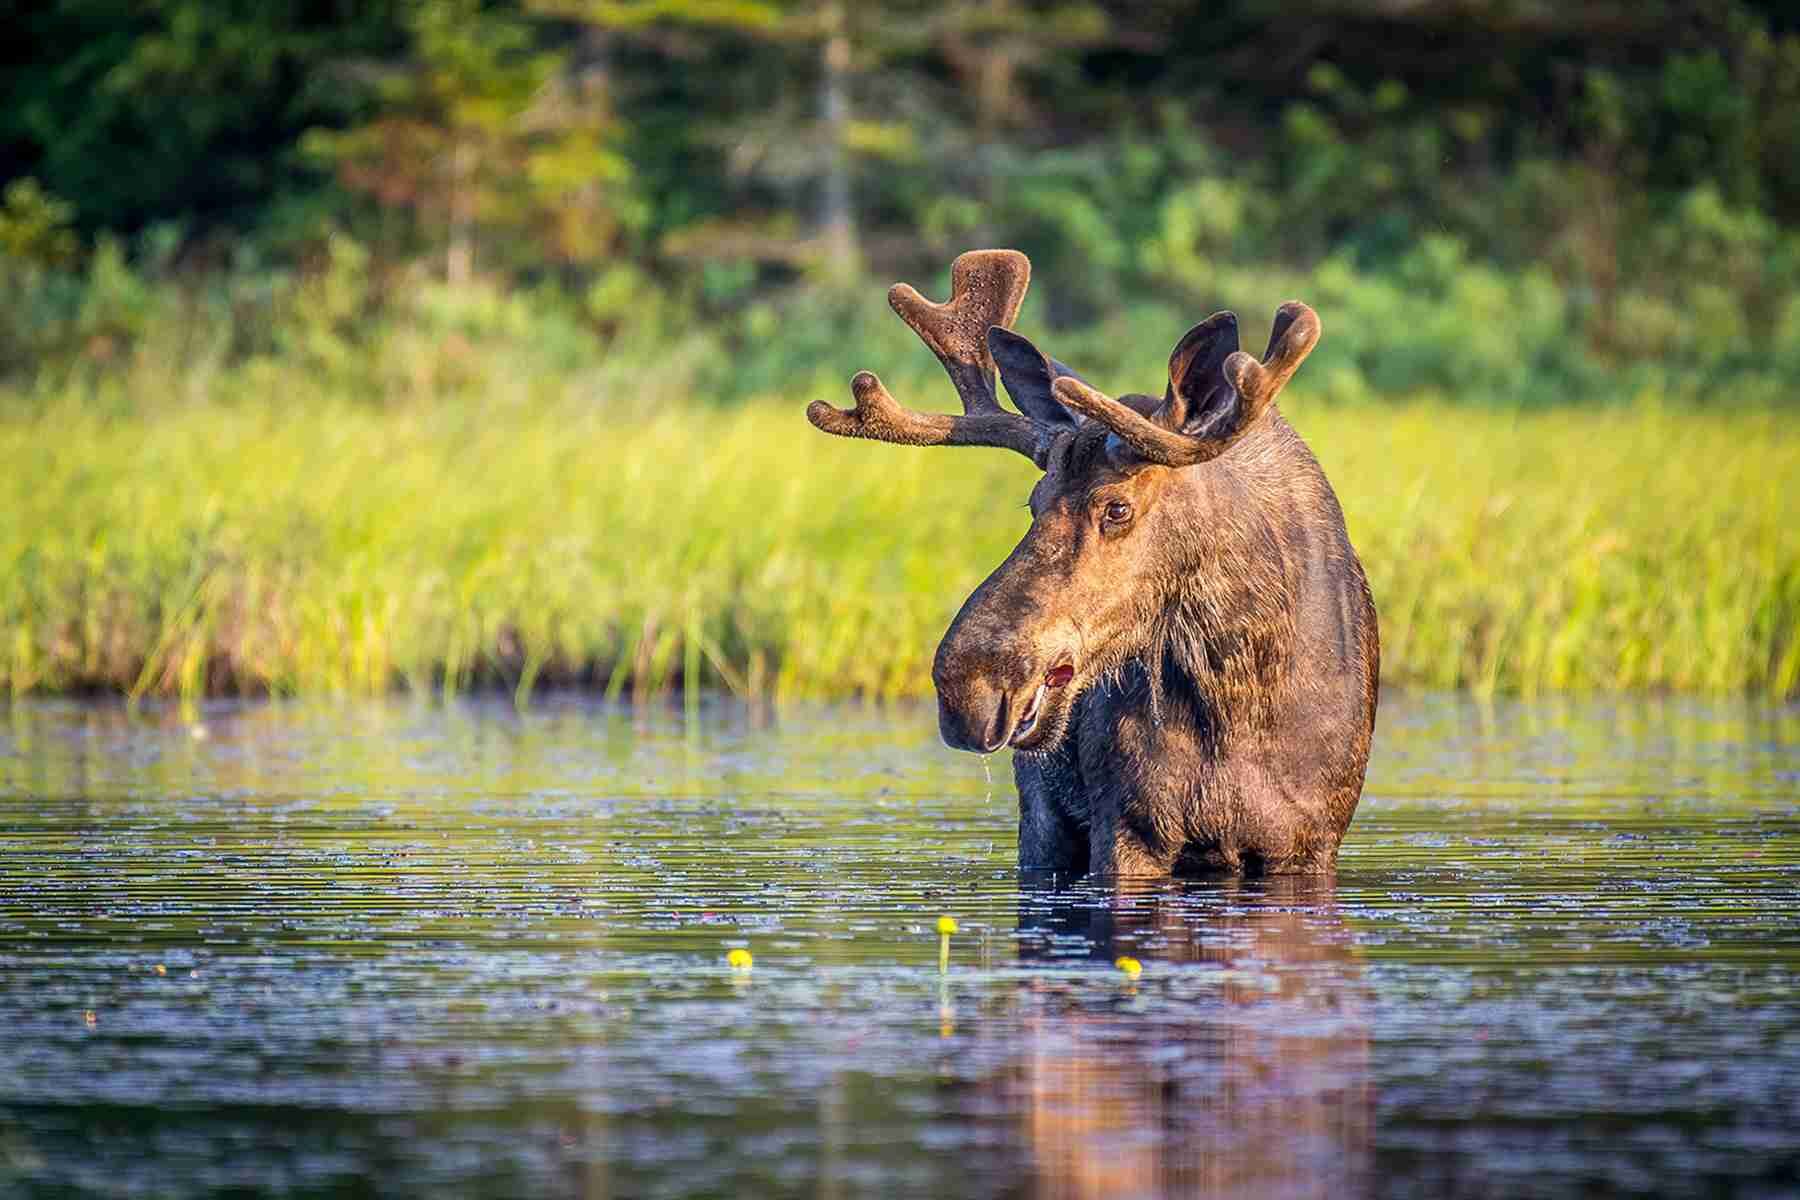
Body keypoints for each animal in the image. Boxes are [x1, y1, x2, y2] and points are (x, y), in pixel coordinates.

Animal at [810, 248, 1382, 877]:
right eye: (1033, 502)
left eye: (1116, 507)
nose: (967, 685)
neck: (1240, 689)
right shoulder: (1127, 827)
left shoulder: (1309, 842)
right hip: (1042, 818)